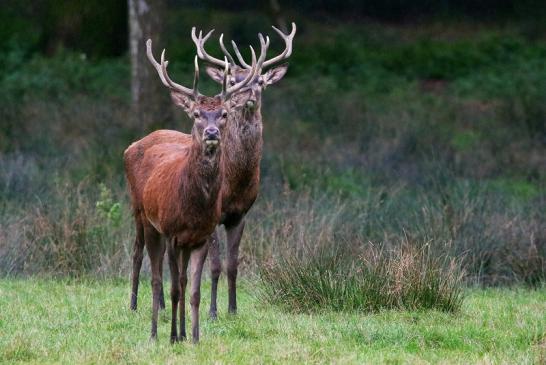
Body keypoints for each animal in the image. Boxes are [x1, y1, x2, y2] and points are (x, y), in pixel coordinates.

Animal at [124, 39, 256, 342]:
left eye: (224, 114)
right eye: (196, 114)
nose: (211, 133)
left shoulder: (202, 235)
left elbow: (193, 290)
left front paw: (193, 336)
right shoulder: (173, 233)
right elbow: (176, 287)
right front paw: (174, 336)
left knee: (176, 279)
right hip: (143, 216)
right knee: (149, 268)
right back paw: (147, 323)